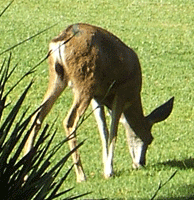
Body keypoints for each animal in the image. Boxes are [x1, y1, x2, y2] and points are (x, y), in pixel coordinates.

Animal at [23, 23, 174, 183]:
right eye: (150, 139)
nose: (141, 163)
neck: (133, 98)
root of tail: (61, 39)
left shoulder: (98, 97)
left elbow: (104, 131)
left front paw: (106, 167)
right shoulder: (121, 92)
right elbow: (113, 131)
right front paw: (109, 171)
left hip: (58, 76)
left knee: (37, 115)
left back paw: (25, 173)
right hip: (85, 82)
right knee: (69, 121)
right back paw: (81, 175)